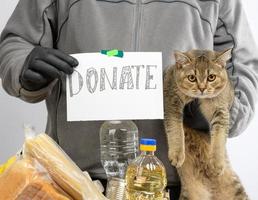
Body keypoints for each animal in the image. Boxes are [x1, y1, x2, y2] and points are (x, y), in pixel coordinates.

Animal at [164, 48, 249, 200]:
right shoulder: (171, 99)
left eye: (211, 77)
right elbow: (175, 129)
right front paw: (177, 154)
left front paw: (217, 164)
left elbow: (219, 138)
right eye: (192, 78)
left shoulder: (221, 111)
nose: (202, 88)